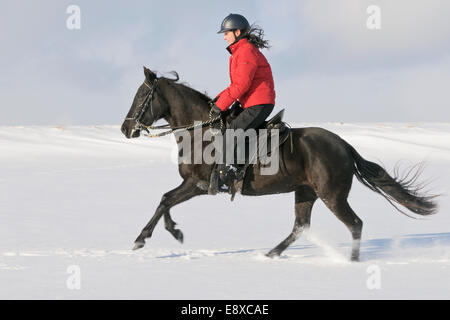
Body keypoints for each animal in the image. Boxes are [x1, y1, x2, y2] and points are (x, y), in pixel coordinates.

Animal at [119, 67, 436, 260]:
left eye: (141, 96)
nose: (125, 128)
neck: (201, 132)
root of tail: (345, 146)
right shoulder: (191, 185)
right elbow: (166, 201)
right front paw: (173, 231)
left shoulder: (197, 185)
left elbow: (165, 200)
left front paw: (142, 239)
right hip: (305, 192)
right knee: (301, 226)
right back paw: (271, 254)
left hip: (331, 196)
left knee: (354, 224)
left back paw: (351, 261)